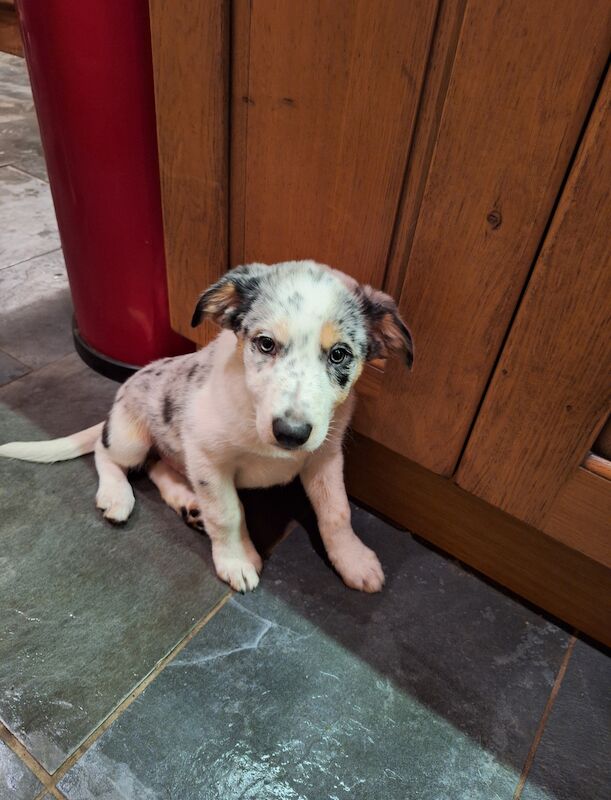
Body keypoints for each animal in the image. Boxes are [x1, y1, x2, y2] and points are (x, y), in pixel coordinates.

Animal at [0, 262, 414, 592]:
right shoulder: (208, 459)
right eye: (265, 344)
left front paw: (353, 560)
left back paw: (187, 502)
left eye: (340, 354)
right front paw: (236, 561)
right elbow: (228, 513)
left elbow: (337, 512)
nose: (291, 433)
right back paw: (118, 496)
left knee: (158, 466)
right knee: (108, 454)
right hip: (130, 436)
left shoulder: (324, 457)